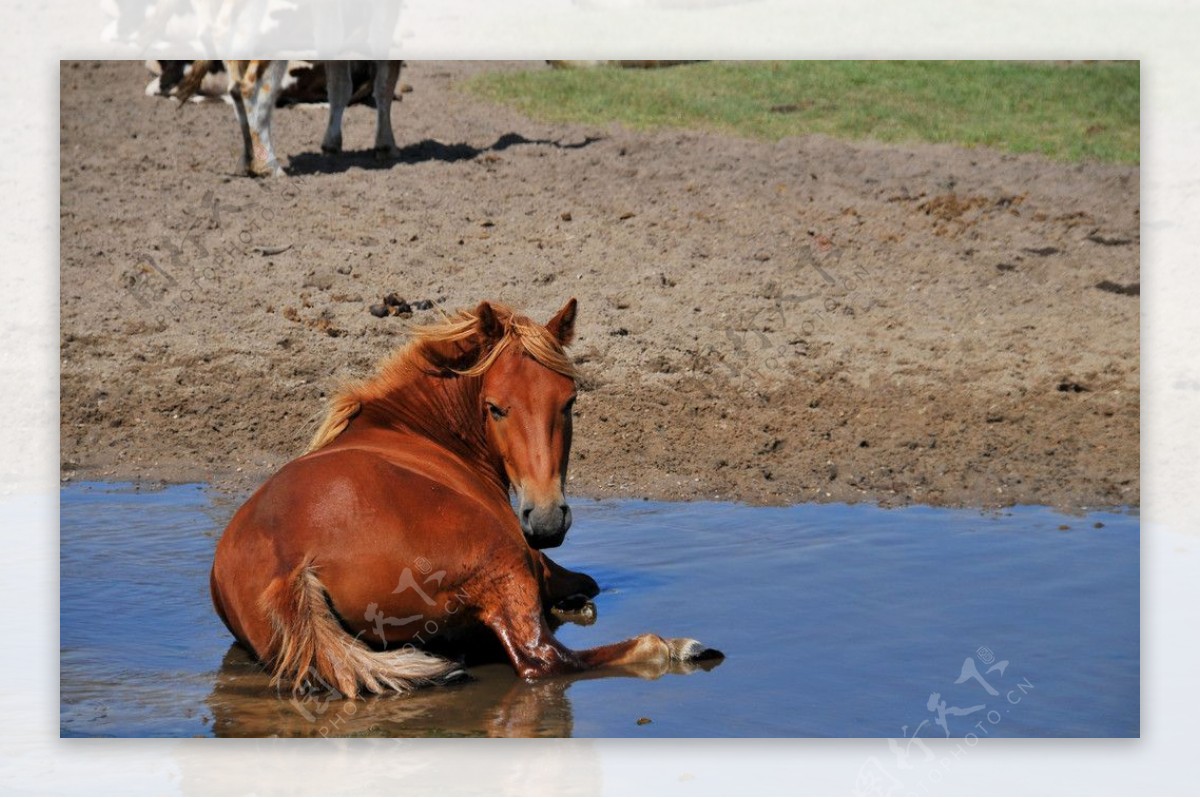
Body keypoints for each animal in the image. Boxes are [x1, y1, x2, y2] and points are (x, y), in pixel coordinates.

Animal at [176, 59, 403, 177]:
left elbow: (340, 88)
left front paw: (332, 144)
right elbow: (384, 87)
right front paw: (386, 145)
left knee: (235, 91)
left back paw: (248, 161)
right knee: (251, 90)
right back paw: (270, 166)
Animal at [212, 295, 720, 696]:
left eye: (569, 401)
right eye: (494, 408)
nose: (547, 520)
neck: (410, 428)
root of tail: (291, 567)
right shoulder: (534, 561)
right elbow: (584, 583)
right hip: (504, 562)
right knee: (545, 659)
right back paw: (674, 647)